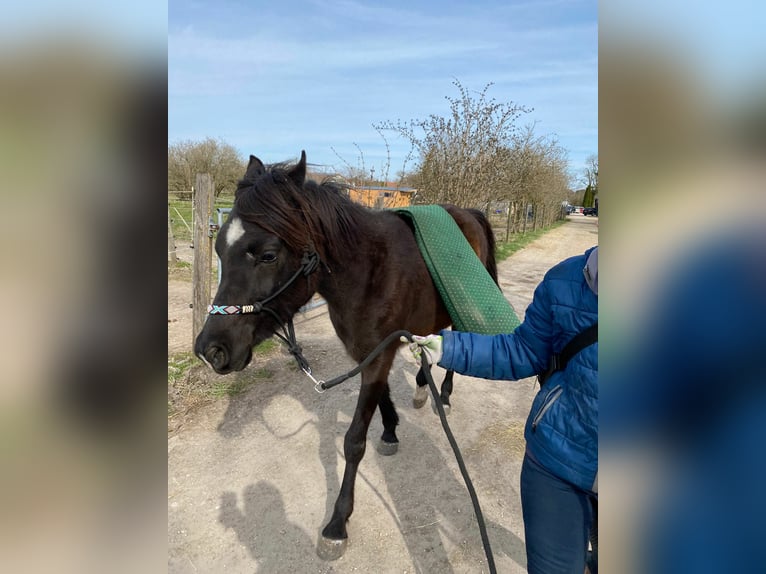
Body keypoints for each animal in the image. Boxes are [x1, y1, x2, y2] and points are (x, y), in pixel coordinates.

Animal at [194, 151, 500, 560]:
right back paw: (423, 385)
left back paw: (444, 395)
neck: (370, 271)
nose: (210, 350)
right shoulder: (370, 354)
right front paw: (390, 431)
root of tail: (469, 212)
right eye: (219, 251)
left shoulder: (377, 356)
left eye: (268, 255)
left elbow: (353, 441)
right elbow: (382, 398)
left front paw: (337, 524)